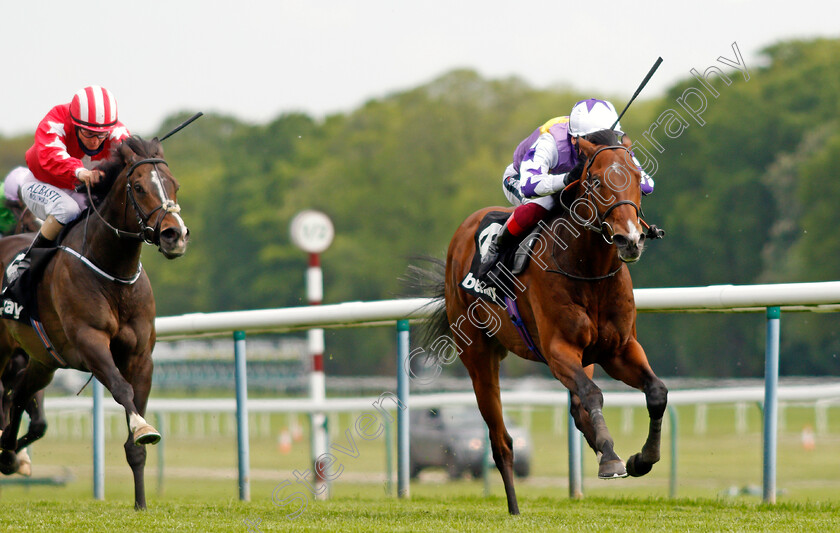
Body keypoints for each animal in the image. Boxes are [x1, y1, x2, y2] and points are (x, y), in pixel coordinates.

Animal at [0, 136, 189, 508]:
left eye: (173, 184)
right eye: (139, 186)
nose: (175, 235)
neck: (113, 272)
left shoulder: (140, 357)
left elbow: (135, 432)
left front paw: (141, 504)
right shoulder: (90, 342)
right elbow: (122, 389)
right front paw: (143, 427)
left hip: (42, 360)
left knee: (18, 397)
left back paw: (9, 455)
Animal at [420, 131, 668, 512]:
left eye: (638, 176)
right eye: (596, 181)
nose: (630, 239)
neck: (589, 270)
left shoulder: (619, 350)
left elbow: (656, 392)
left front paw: (640, 459)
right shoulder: (557, 351)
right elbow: (593, 394)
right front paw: (612, 458)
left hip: (586, 357)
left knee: (577, 411)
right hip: (478, 357)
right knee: (501, 440)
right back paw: (514, 506)